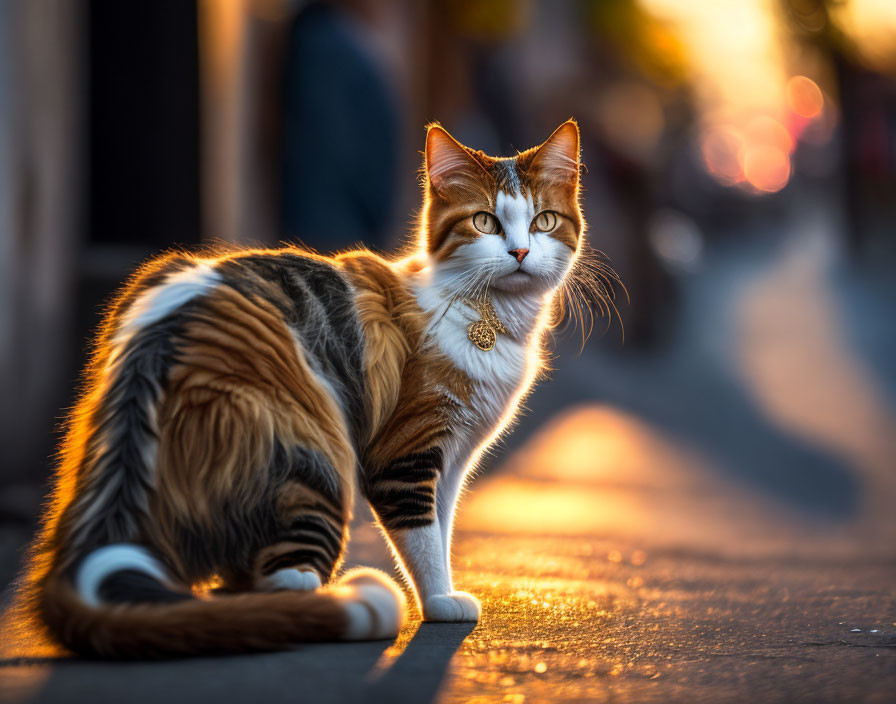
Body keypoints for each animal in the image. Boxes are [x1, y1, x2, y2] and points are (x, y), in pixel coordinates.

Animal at [21, 119, 588, 656]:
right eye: (484, 222)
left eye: (543, 221)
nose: (520, 252)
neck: (485, 314)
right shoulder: (406, 452)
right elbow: (423, 535)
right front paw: (440, 601)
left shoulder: (451, 458)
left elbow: (441, 527)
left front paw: (440, 594)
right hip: (316, 453)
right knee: (280, 580)